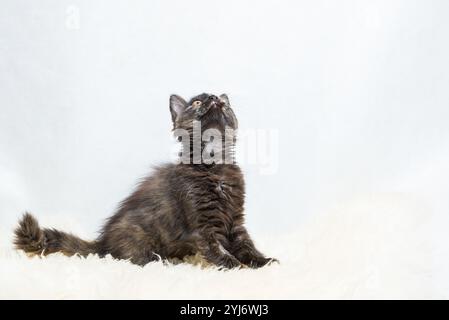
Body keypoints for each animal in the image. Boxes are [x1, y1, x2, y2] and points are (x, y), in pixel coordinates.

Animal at [13, 92, 276, 268]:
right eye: (197, 102)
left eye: (224, 105)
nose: (214, 98)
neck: (215, 165)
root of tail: (102, 243)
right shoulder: (203, 225)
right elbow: (217, 249)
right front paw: (235, 265)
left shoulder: (235, 219)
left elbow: (246, 244)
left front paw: (262, 261)